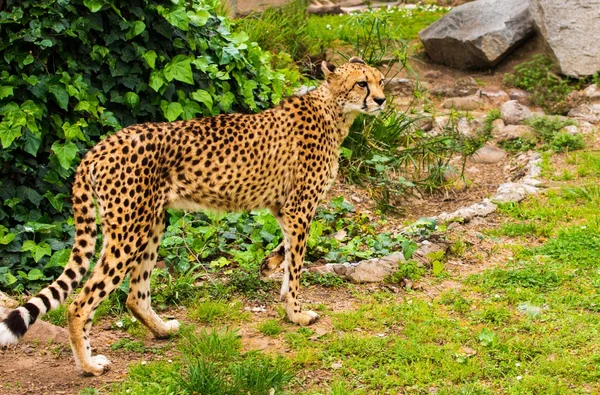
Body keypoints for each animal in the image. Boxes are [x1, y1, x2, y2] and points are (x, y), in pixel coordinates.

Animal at [0, 57, 384, 376]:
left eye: (380, 81)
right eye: (361, 83)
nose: (381, 100)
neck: (334, 109)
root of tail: (99, 146)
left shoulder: (284, 208)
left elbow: (289, 252)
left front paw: (268, 267)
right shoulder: (299, 208)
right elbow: (298, 265)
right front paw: (297, 313)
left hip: (152, 222)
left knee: (134, 295)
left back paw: (162, 330)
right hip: (129, 231)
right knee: (80, 303)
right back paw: (89, 365)